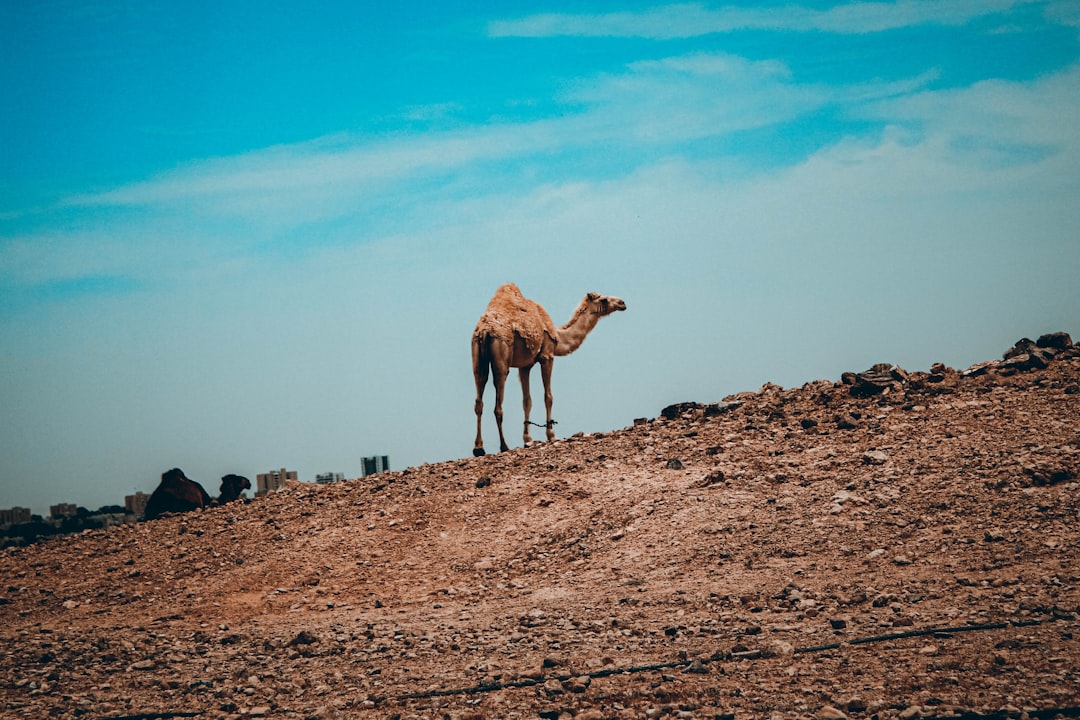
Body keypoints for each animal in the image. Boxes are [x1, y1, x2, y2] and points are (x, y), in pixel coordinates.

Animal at [470, 282, 626, 455]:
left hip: (477, 358)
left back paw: (478, 448)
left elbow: (527, 401)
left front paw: (527, 439)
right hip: (501, 358)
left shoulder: (525, 366)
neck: (559, 335)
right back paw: (504, 446)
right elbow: (548, 397)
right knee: (498, 403)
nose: (622, 303)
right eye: (604, 299)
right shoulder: (547, 356)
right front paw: (551, 435)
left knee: (479, 397)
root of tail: (485, 330)